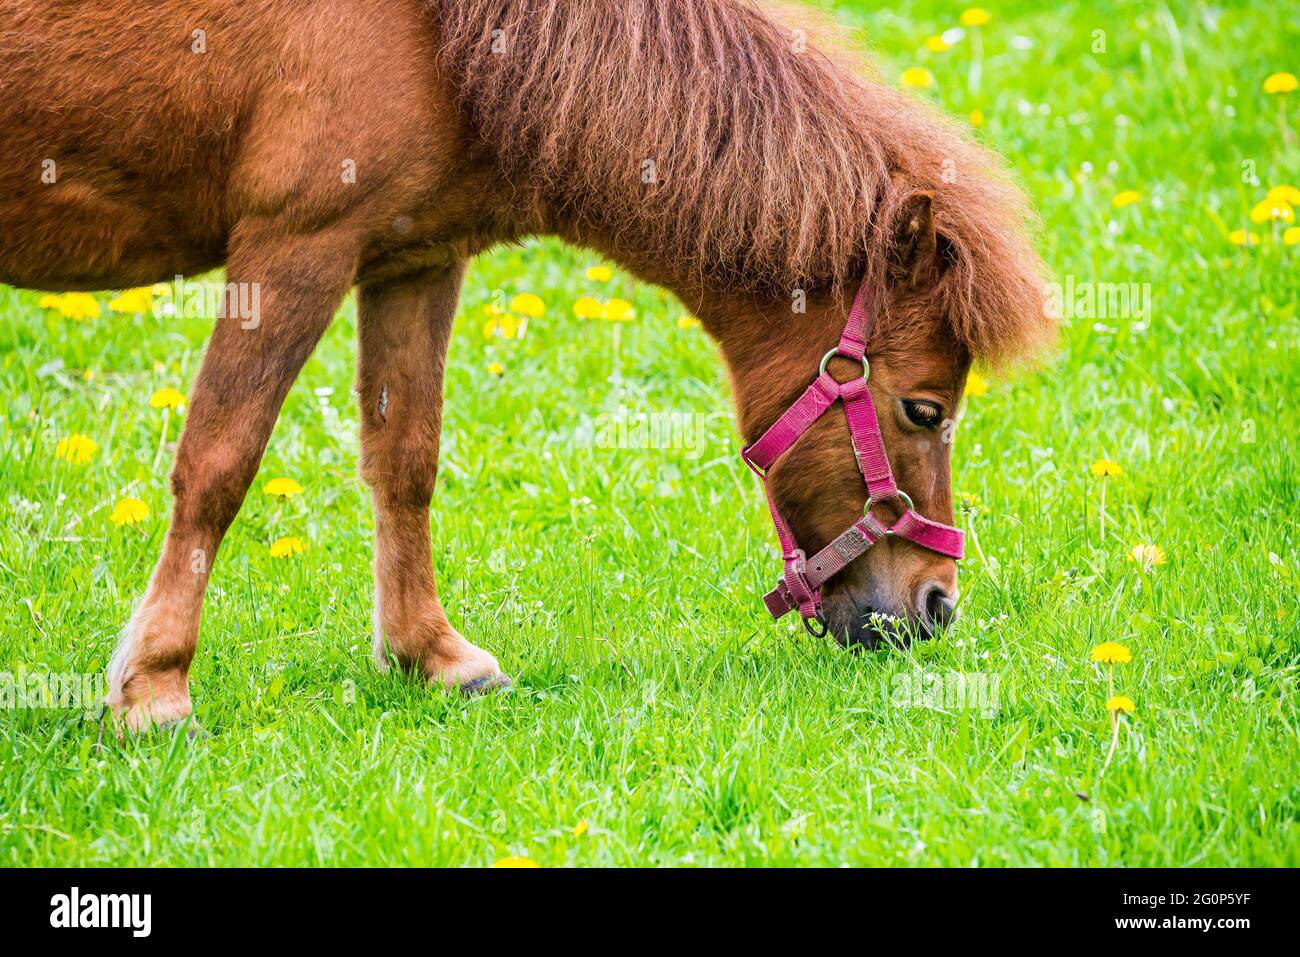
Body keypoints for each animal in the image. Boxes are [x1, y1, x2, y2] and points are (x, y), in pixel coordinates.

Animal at [0, 0, 1051, 730]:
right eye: (924, 409)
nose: (935, 606)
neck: (443, 38)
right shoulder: (293, 248)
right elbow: (219, 464)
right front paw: (154, 688)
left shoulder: (412, 260)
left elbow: (405, 462)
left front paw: (431, 657)